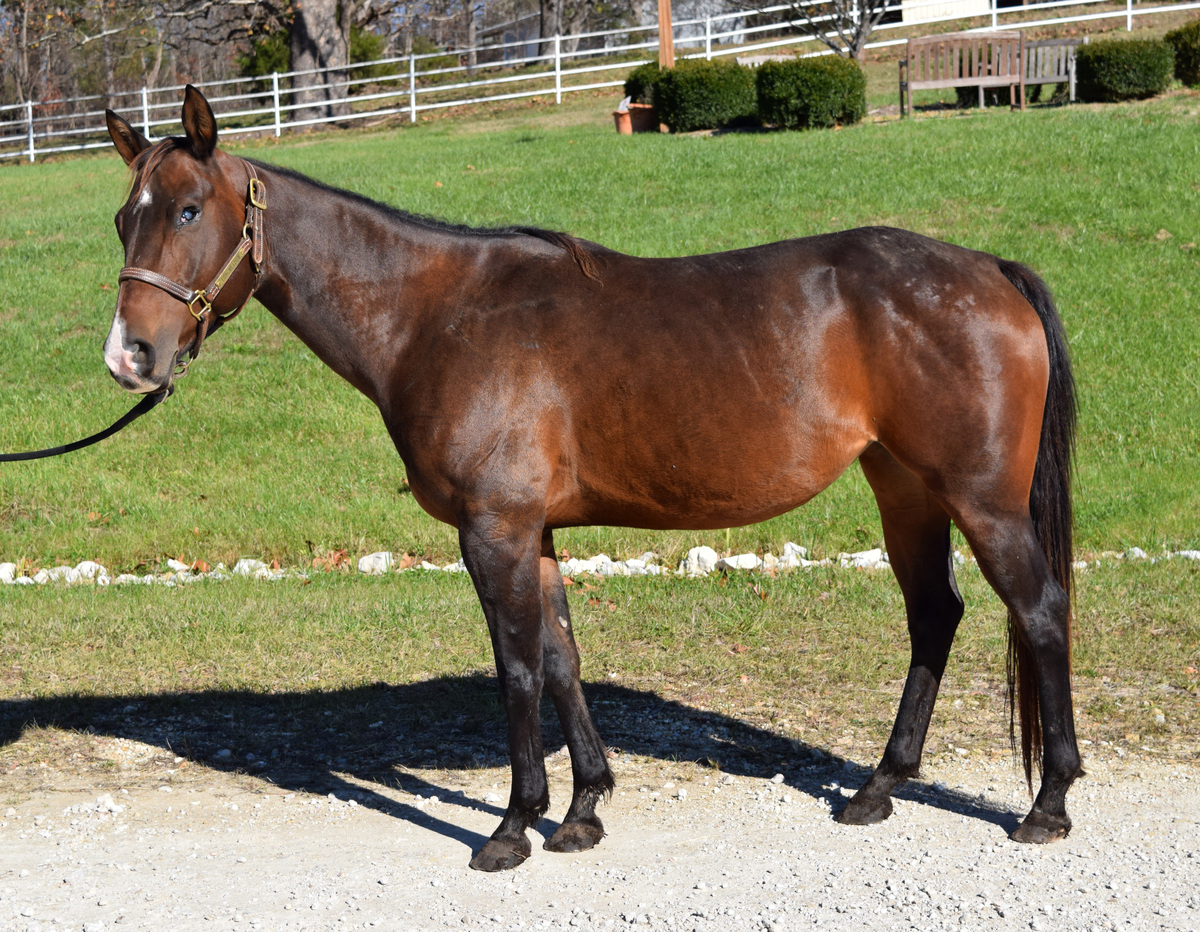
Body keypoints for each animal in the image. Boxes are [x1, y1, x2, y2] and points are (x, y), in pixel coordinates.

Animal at [102, 86, 1081, 872]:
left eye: (188, 210)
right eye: (123, 219)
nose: (130, 355)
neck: (434, 316)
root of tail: (990, 270)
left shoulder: (493, 532)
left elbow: (516, 671)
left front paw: (512, 828)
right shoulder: (532, 531)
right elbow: (562, 659)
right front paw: (581, 812)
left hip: (983, 502)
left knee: (1038, 612)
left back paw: (1048, 803)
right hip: (905, 490)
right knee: (935, 616)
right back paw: (880, 787)